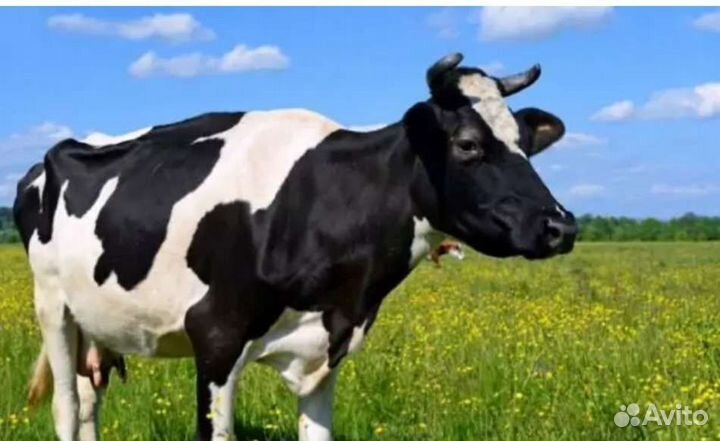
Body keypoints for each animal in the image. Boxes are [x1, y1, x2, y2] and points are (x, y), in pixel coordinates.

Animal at [14, 52, 577, 441]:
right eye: (467, 144)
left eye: (525, 144)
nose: (560, 226)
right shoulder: (215, 337)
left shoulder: (326, 350)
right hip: (53, 307)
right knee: (67, 406)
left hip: (97, 324)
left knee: (90, 401)